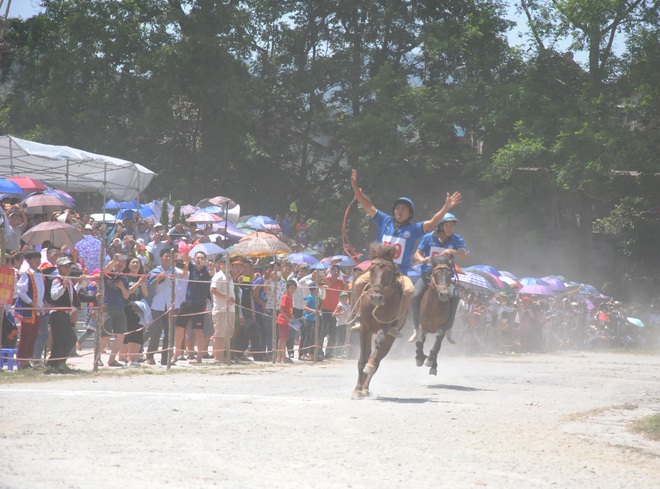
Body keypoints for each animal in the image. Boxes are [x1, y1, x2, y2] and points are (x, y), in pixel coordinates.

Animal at [354, 242, 404, 398]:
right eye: (371, 269)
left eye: (389, 272)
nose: (376, 296)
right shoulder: (364, 328)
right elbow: (362, 359)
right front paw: (357, 390)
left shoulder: (385, 327)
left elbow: (374, 356)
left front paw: (369, 368)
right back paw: (362, 388)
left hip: (390, 339)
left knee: (378, 360)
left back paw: (366, 387)